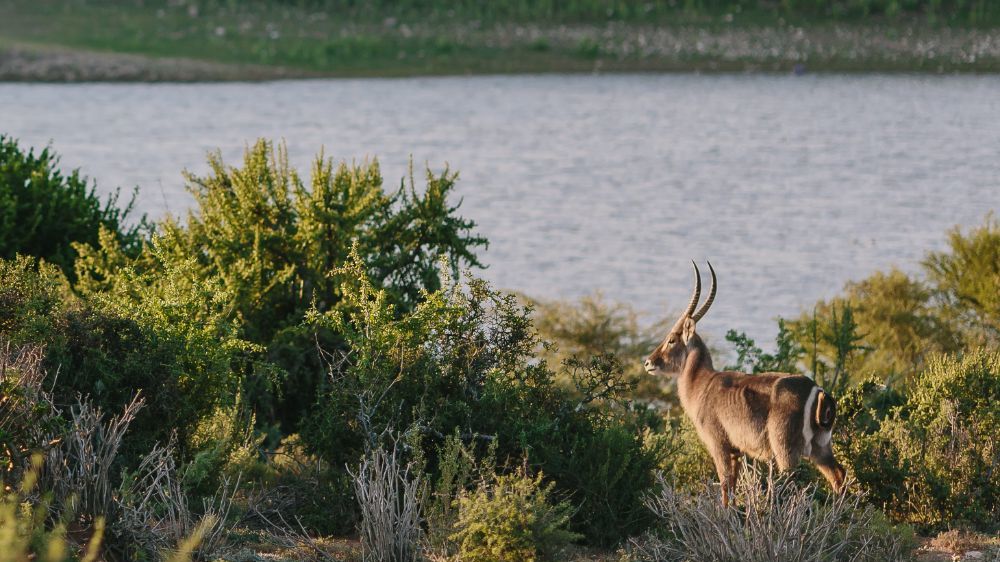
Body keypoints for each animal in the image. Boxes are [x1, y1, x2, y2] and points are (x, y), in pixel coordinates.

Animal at [648, 262, 844, 504]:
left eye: (671, 340)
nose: (648, 362)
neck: (702, 384)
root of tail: (817, 390)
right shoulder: (737, 451)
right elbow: (732, 486)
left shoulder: (719, 445)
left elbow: (724, 484)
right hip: (820, 447)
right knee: (838, 474)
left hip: (785, 449)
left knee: (793, 482)